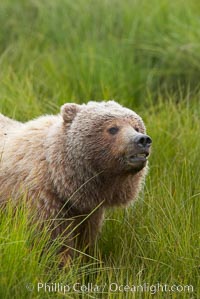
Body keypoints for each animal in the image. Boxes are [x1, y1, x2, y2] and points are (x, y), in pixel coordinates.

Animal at [0, 101, 152, 264]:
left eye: (136, 127)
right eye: (113, 128)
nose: (142, 139)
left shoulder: (87, 212)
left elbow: (85, 239)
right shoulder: (42, 201)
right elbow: (54, 242)